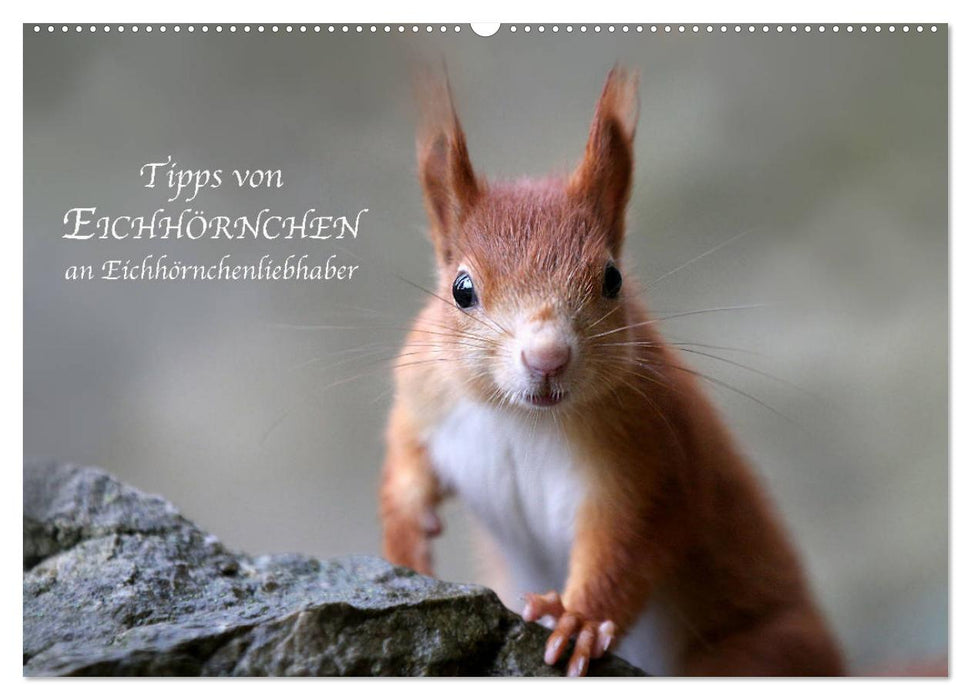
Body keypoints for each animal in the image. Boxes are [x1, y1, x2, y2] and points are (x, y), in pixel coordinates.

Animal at [379, 67, 845, 677]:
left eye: (613, 279)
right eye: (461, 289)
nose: (547, 357)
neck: (519, 419)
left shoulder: (650, 454)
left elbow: (628, 545)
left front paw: (578, 620)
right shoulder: (425, 394)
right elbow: (404, 459)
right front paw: (404, 536)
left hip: (756, 654)